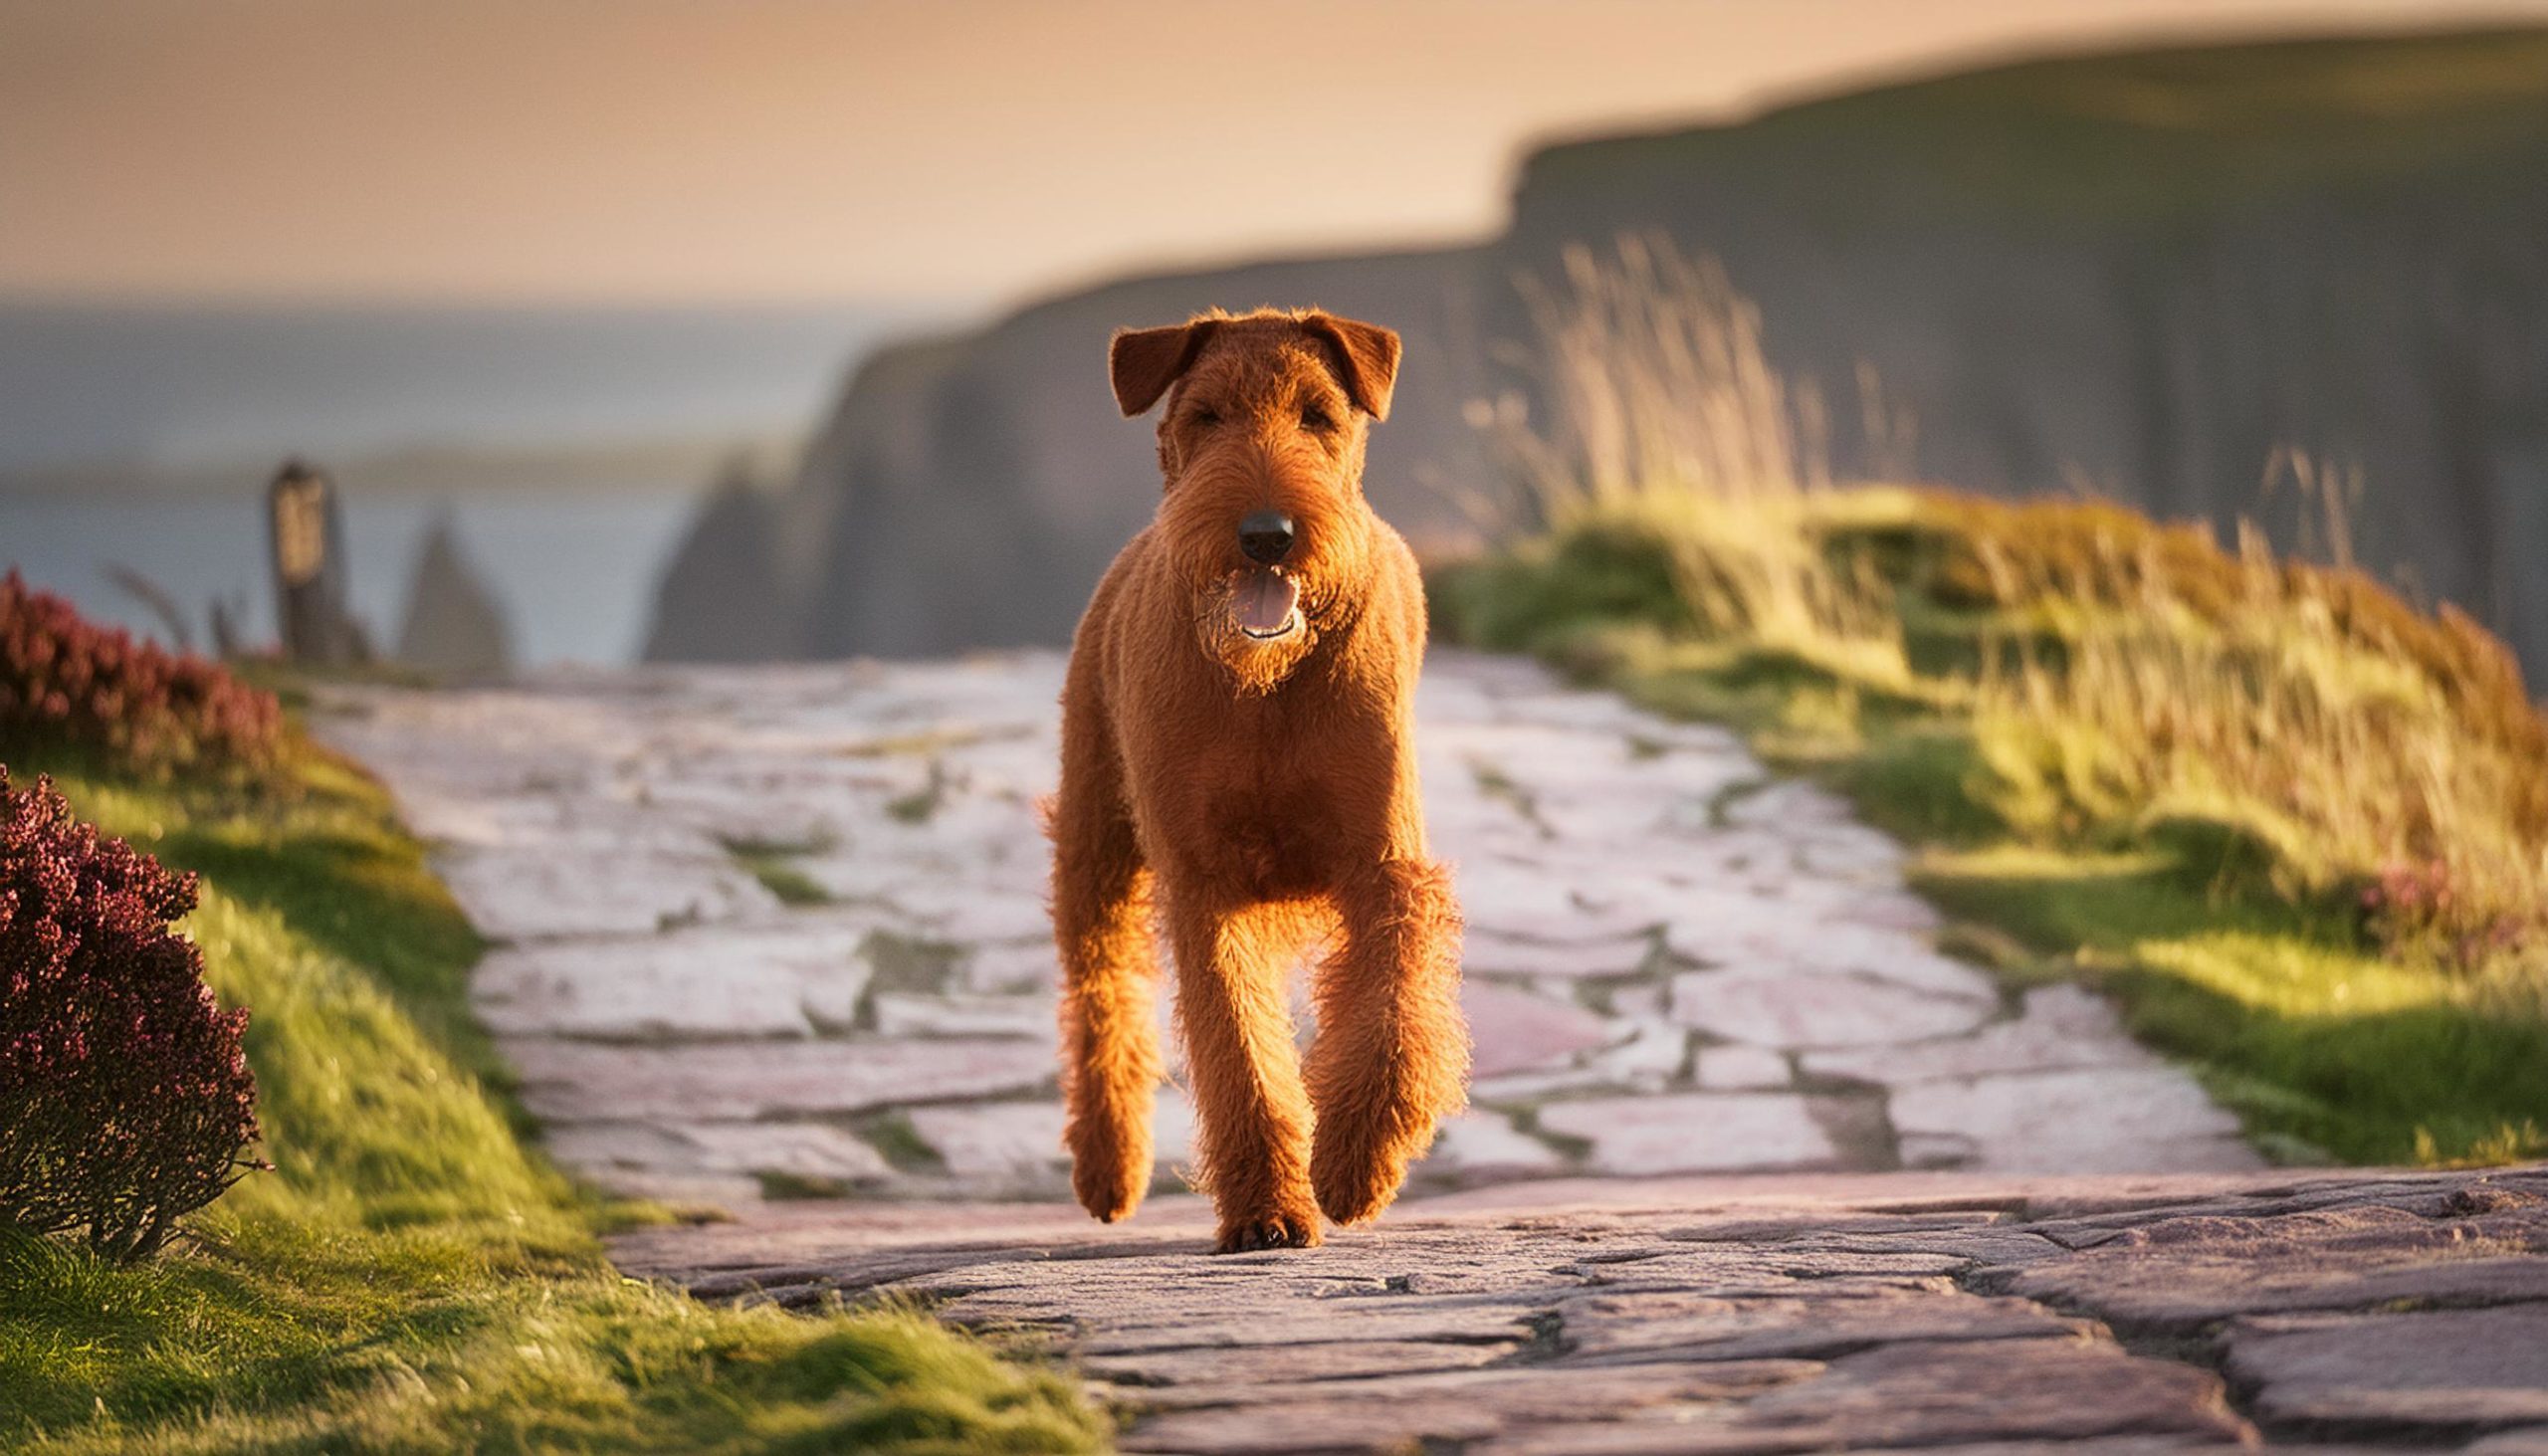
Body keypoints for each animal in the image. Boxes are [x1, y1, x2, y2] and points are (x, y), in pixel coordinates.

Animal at [1044, 307, 1467, 1254]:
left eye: (1318, 415)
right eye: (1207, 415)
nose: (1267, 535)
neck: (1266, 687)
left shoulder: (1383, 864)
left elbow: (1389, 1010)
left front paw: (1354, 1163)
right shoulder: (1203, 883)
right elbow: (1238, 1053)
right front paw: (1268, 1208)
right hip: (1094, 851)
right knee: (1102, 1004)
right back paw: (1108, 1166)